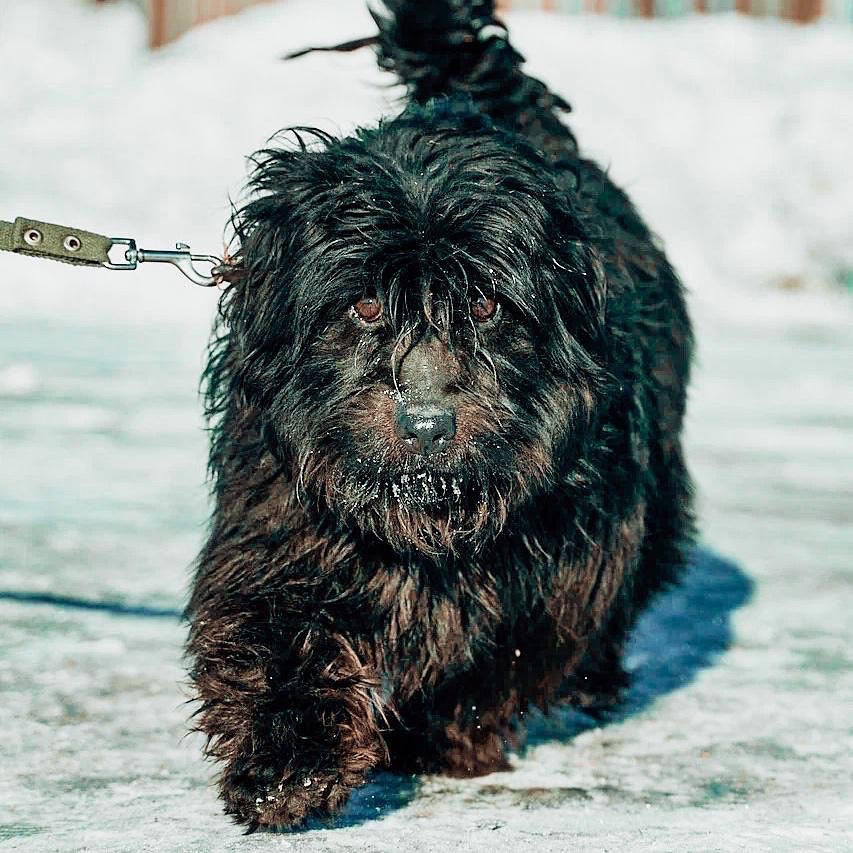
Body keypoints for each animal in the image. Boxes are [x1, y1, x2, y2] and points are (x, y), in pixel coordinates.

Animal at [186, 0, 692, 828]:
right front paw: (285, 766)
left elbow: (494, 659)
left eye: (484, 305)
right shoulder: (282, 524)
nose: (425, 425)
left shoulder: (560, 574)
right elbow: (279, 634)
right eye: (364, 304)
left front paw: (436, 739)